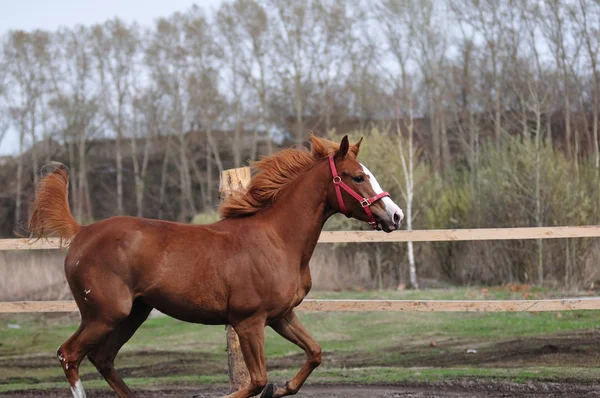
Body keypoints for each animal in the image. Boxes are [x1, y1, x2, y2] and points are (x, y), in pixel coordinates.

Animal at [27, 135, 404, 396]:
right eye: (357, 177)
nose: (396, 215)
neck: (277, 239)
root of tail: (82, 232)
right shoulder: (248, 321)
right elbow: (256, 381)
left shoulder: (280, 316)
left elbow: (314, 353)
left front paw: (284, 387)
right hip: (103, 315)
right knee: (68, 355)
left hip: (133, 314)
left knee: (102, 359)